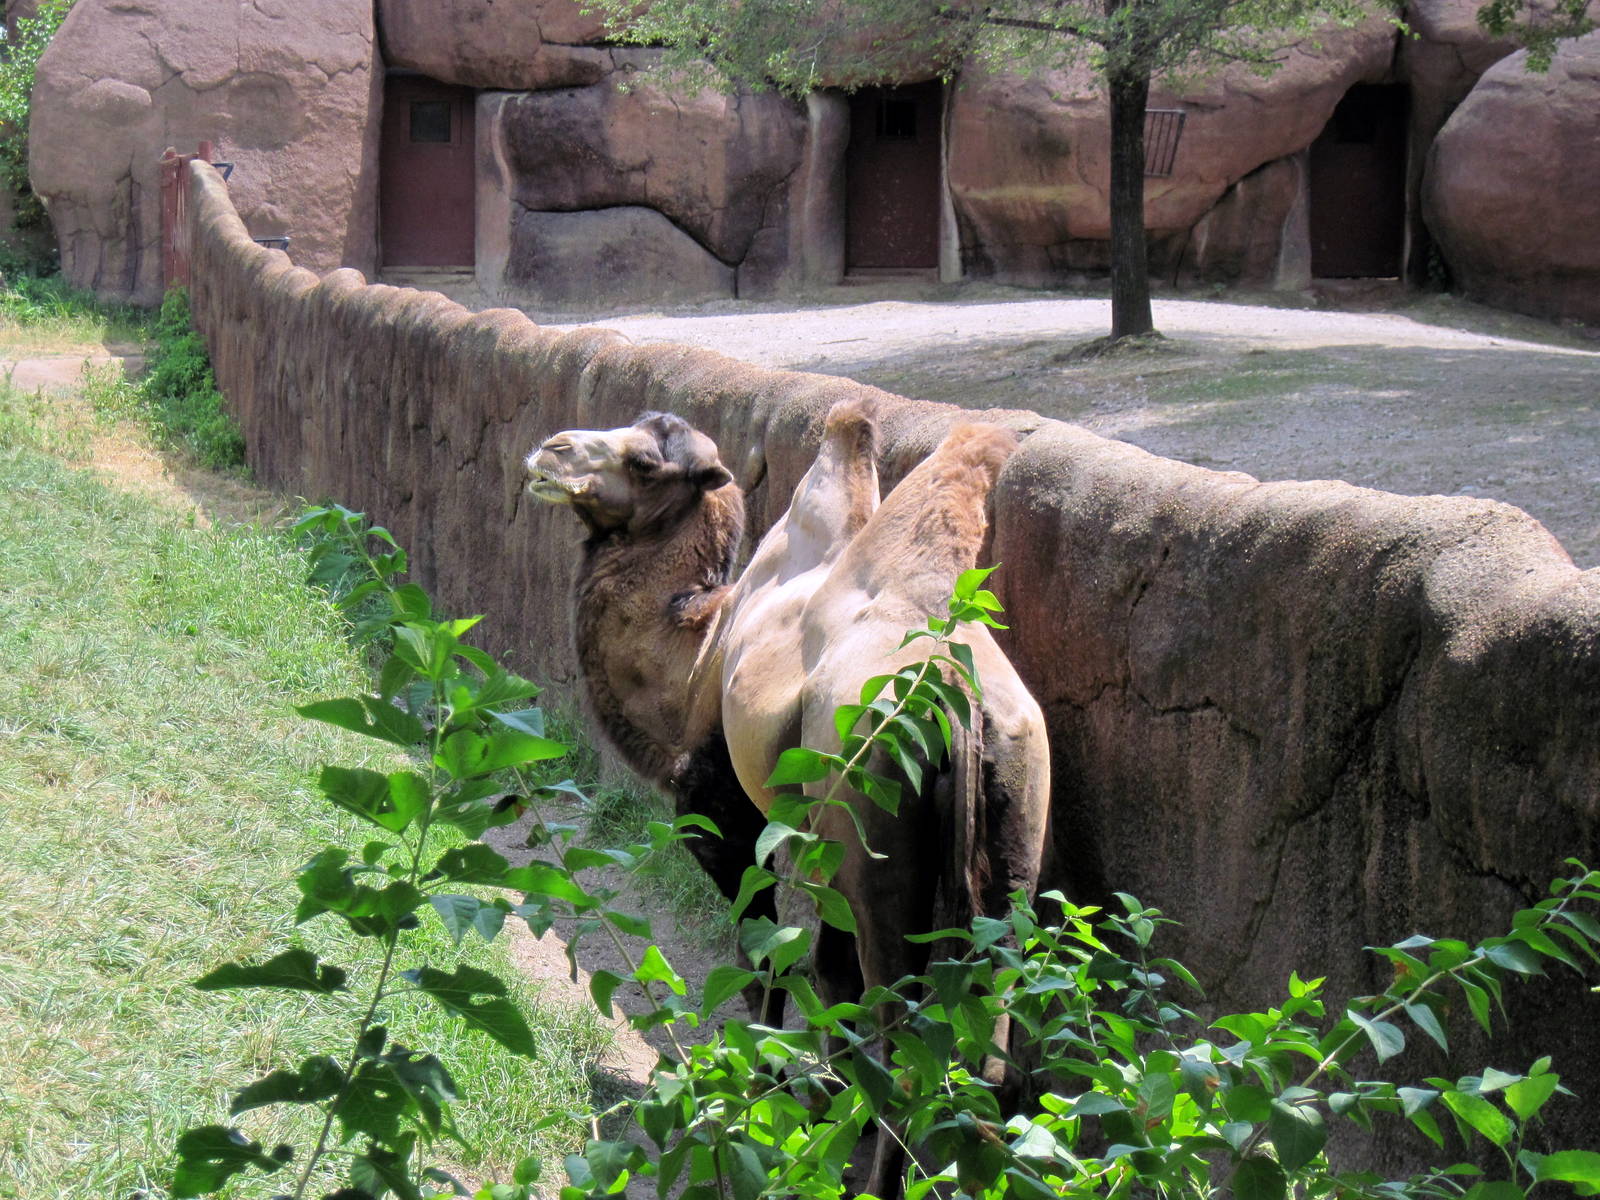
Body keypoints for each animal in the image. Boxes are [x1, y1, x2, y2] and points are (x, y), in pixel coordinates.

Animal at [524, 399, 1050, 1032]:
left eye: (646, 463)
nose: (552, 447)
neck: (699, 653)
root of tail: (955, 698)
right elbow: (827, 969)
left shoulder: (721, 811)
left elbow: (763, 955)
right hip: (1017, 800)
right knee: (989, 993)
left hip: (872, 806)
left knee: (894, 999)